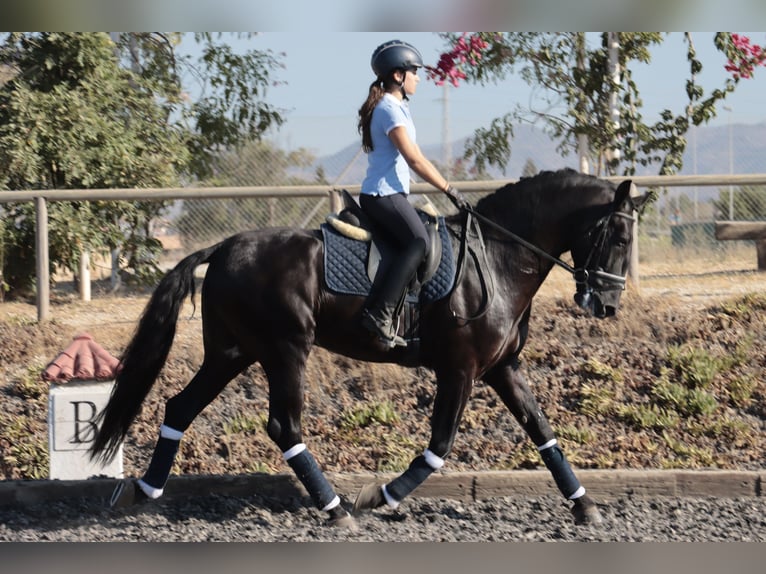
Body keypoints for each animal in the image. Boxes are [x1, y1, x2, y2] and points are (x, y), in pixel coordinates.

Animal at [90, 170, 656, 532]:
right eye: (619, 235)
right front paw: (378, 496)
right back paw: (336, 509)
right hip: (285, 349)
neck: (496, 260)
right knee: (284, 426)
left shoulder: (502, 367)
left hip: (232, 352)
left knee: (180, 408)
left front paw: (584, 506)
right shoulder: (461, 369)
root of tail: (225, 247)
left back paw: (145, 493)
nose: (605, 304)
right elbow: (439, 447)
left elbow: (542, 431)